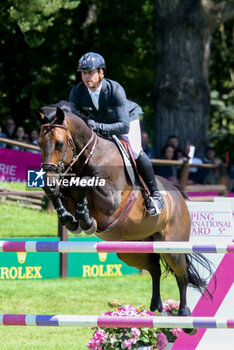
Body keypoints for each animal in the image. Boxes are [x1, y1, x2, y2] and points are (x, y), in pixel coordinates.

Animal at [35, 100, 213, 322]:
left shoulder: (110, 201)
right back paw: (155, 306)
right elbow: (64, 192)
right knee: (154, 268)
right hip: (132, 249)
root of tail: (179, 197)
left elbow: (86, 182)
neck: (90, 155)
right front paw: (70, 218)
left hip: (172, 247)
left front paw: (85, 219)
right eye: (39, 143)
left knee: (182, 274)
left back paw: (184, 314)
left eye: (59, 144)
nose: (50, 181)